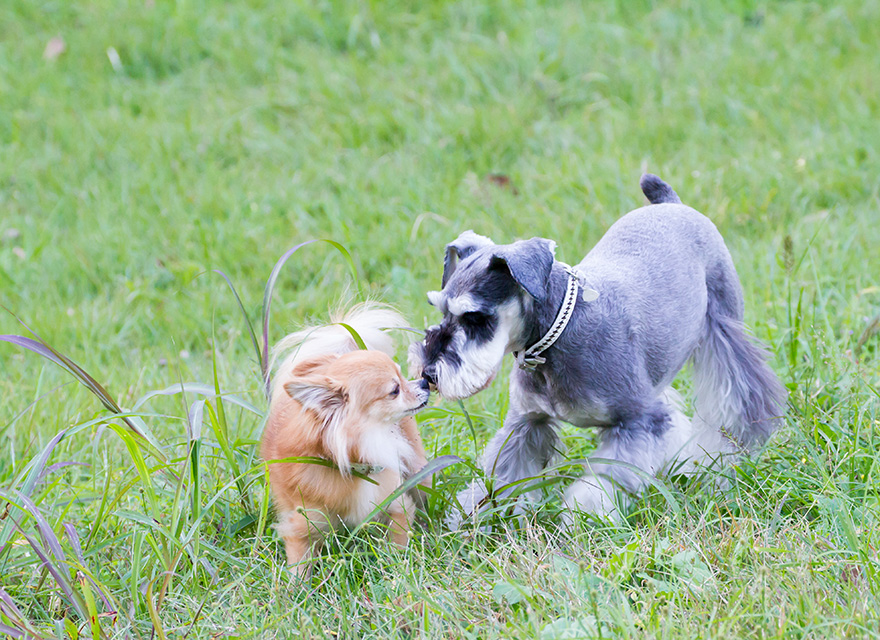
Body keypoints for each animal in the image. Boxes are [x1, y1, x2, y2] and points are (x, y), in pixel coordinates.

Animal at [262, 304, 430, 576]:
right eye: (395, 390)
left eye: (403, 376)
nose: (424, 381)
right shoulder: (302, 526)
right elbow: (300, 566)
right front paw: (295, 588)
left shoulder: (396, 504)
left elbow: (398, 543)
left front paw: (399, 571)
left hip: (419, 470)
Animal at [410, 174, 788, 520]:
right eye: (441, 310)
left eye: (475, 317)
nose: (428, 374)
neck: (555, 336)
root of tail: (672, 204)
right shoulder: (527, 423)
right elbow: (500, 472)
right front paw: (472, 514)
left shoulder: (636, 420)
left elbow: (606, 479)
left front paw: (580, 516)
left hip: (723, 328)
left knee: (735, 398)